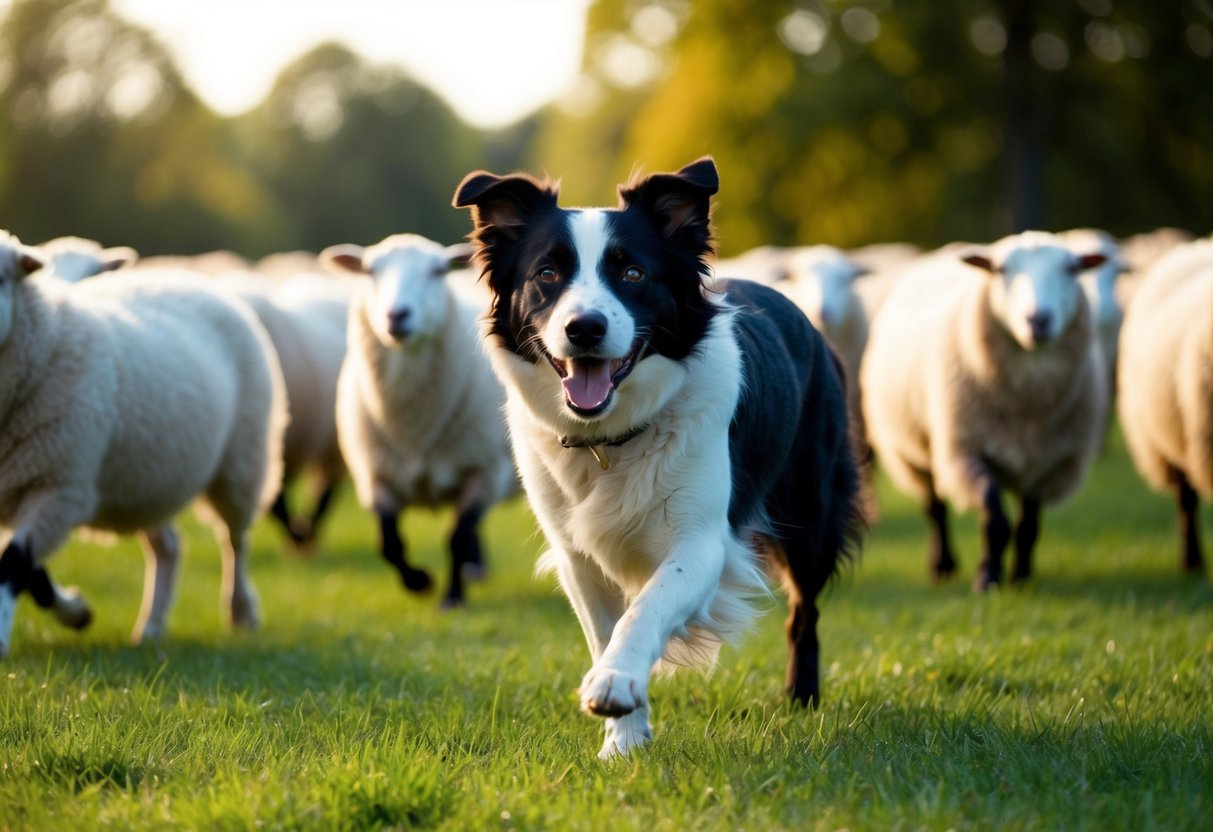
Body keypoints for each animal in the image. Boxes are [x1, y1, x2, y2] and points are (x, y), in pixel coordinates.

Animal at [0, 230, 286, 657]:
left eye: (1, 278)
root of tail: (184, 273)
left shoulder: (60, 486)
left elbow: (15, 563)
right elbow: (33, 571)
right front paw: (76, 611)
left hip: (242, 461)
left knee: (235, 541)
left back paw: (241, 612)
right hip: (151, 480)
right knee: (169, 547)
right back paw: (151, 628)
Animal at [321, 233, 517, 607]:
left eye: (437, 270)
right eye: (370, 271)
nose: (397, 315)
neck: (413, 427)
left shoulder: (483, 473)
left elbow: (457, 536)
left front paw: (452, 597)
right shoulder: (376, 476)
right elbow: (388, 542)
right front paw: (418, 582)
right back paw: (475, 569)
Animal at [861, 230, 1109, 589]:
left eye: (1071, 269)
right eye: (1001, 270)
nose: (1038, 320)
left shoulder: (1050, 460)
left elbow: (1028, 526)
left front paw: (1021, 577)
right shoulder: (967, 449)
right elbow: (995, 520)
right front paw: (987, 578)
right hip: (913, 451)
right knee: (935, 509)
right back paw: (943, 564)